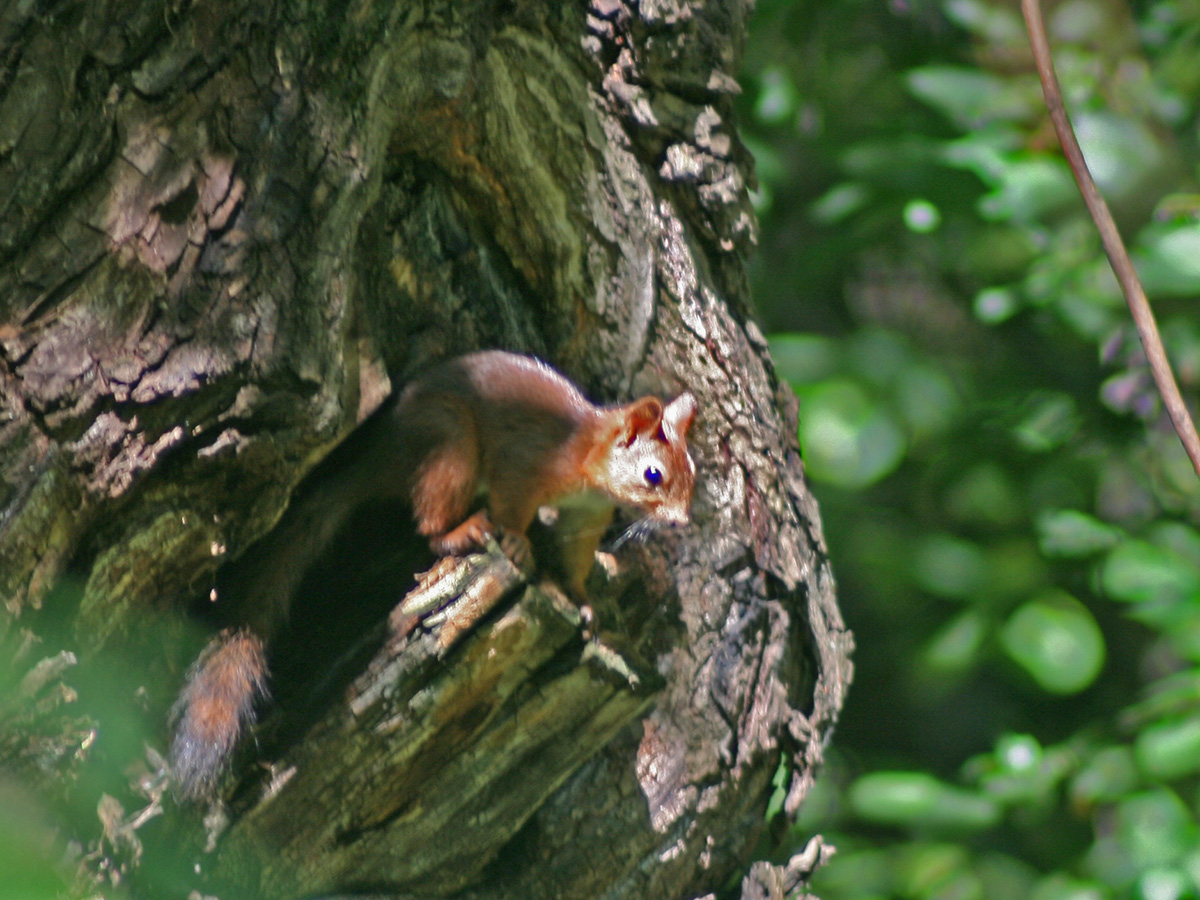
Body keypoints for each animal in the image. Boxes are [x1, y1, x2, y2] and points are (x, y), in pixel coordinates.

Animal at [168, 352, 696, 801]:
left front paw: (582, 599)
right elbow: (512, 506)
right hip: (450, 449)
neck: (584, 452)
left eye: (691, 472)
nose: (681, 522)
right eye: (652, 475)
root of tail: (384, 458)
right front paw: (517, 543)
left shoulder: (584, 517)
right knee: (430, 525)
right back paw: (464, 531)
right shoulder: (525, 465)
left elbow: (574, 561)